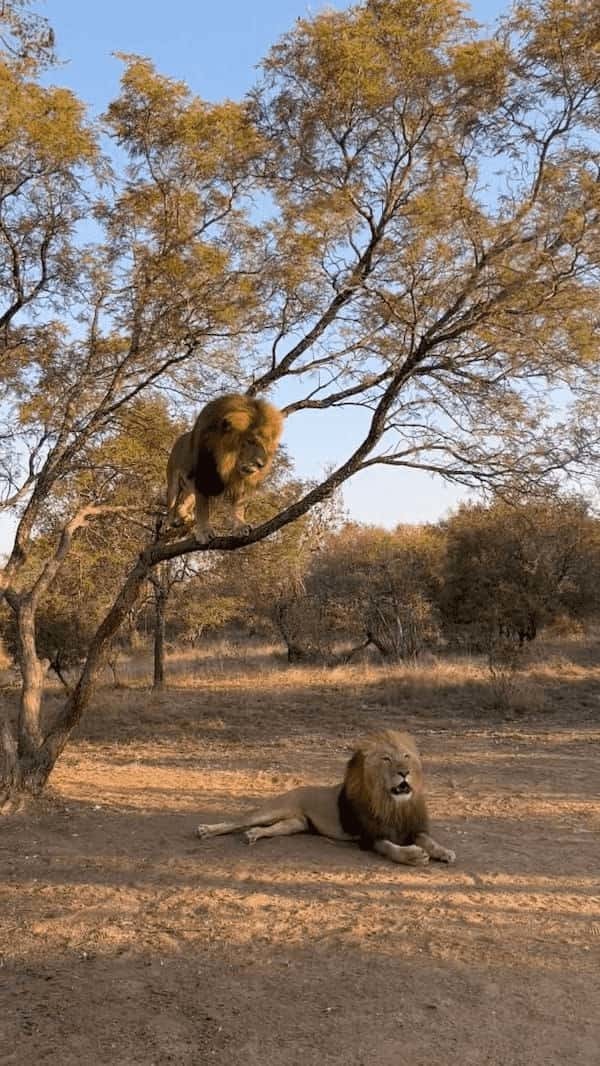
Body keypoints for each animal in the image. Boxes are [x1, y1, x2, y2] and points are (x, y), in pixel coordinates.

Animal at [165, 394, 285, 541]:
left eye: (266, 446)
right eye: (250, 441)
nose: (261, 465)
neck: (228, 465)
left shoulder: (239, 483)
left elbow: (238, 507)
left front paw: (240, 526)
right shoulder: (202, 478)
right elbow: (203, 510)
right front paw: (204, 532)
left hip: (190, 490)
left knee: (182, 505)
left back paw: (186, 517)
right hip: (173, 482)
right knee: (172, 505)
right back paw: (170, 523)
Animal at [197, 729, 456, 869]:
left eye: (406, 756)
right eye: (386, 759)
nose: (405, 772)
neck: (393, 804)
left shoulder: (412, 828)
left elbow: (428, 840)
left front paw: (444, 852)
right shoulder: (369, 837)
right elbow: (391, 848)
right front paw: (414, 855)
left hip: (296, 824)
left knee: (272, 828)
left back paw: (253, 835)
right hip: (271, 809)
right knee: (237, 821)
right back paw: (207, 830)